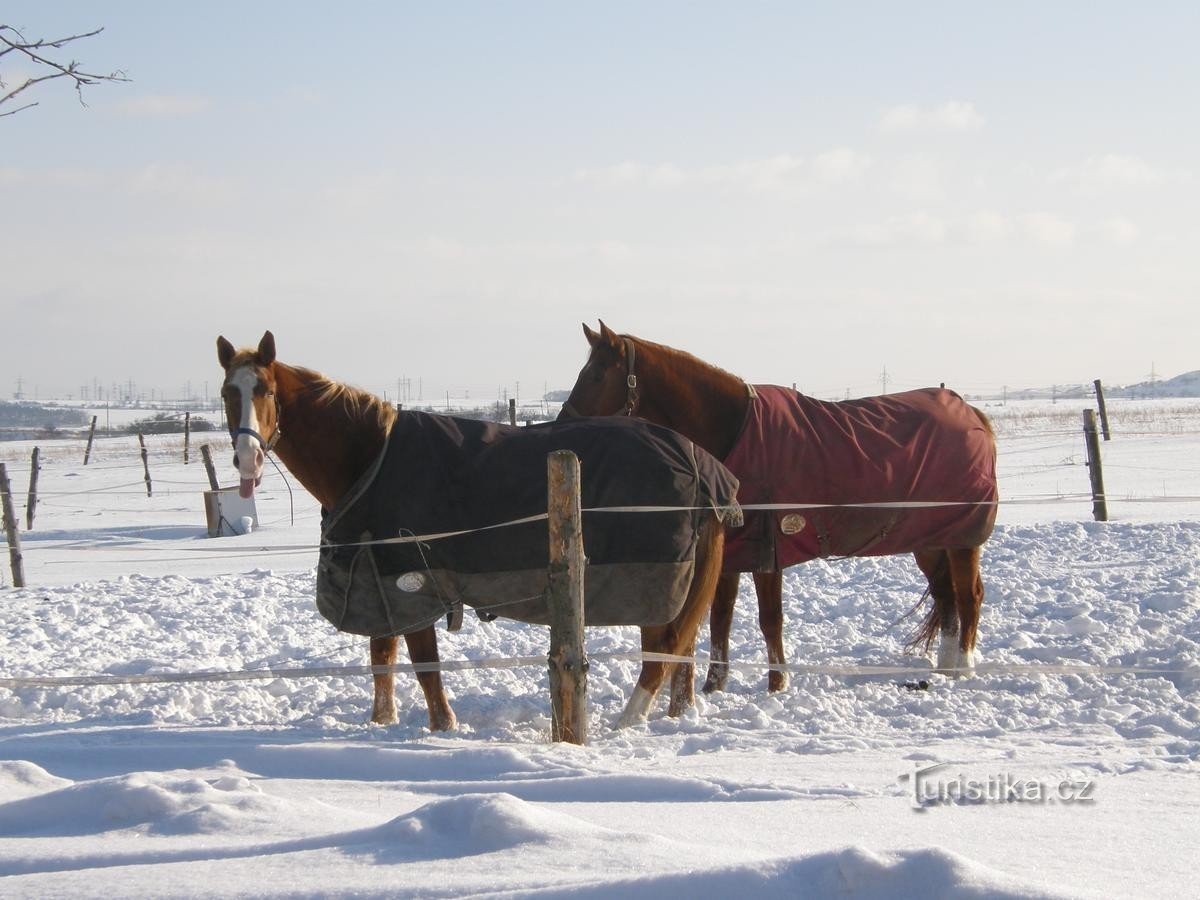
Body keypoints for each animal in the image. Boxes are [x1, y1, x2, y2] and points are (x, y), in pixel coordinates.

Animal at [216, 331, 729, 734]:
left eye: (265, 390)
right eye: (226, 393)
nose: (247, 459)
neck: (370, 457)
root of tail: (697, 462)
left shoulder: (412, 584)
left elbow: (425, 666)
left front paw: (443, 727)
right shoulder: (378, 583)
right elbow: (383, 659)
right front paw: (383, 723)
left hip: (654, 583)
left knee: (662, 651)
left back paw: (628, 721)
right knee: (679, 649)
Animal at [556, 321, 998, 691]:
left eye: (596, 375)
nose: (562, 425)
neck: (736, 431)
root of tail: (973, 413)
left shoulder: (768, 548)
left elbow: (770, 619)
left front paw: (776, 684)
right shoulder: (734, 550)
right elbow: (720, 617)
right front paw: (715, 684)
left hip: (963, 540)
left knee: (968, 595)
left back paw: (963, 669)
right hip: (931, 540)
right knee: (945, 596)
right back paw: (945, 668)